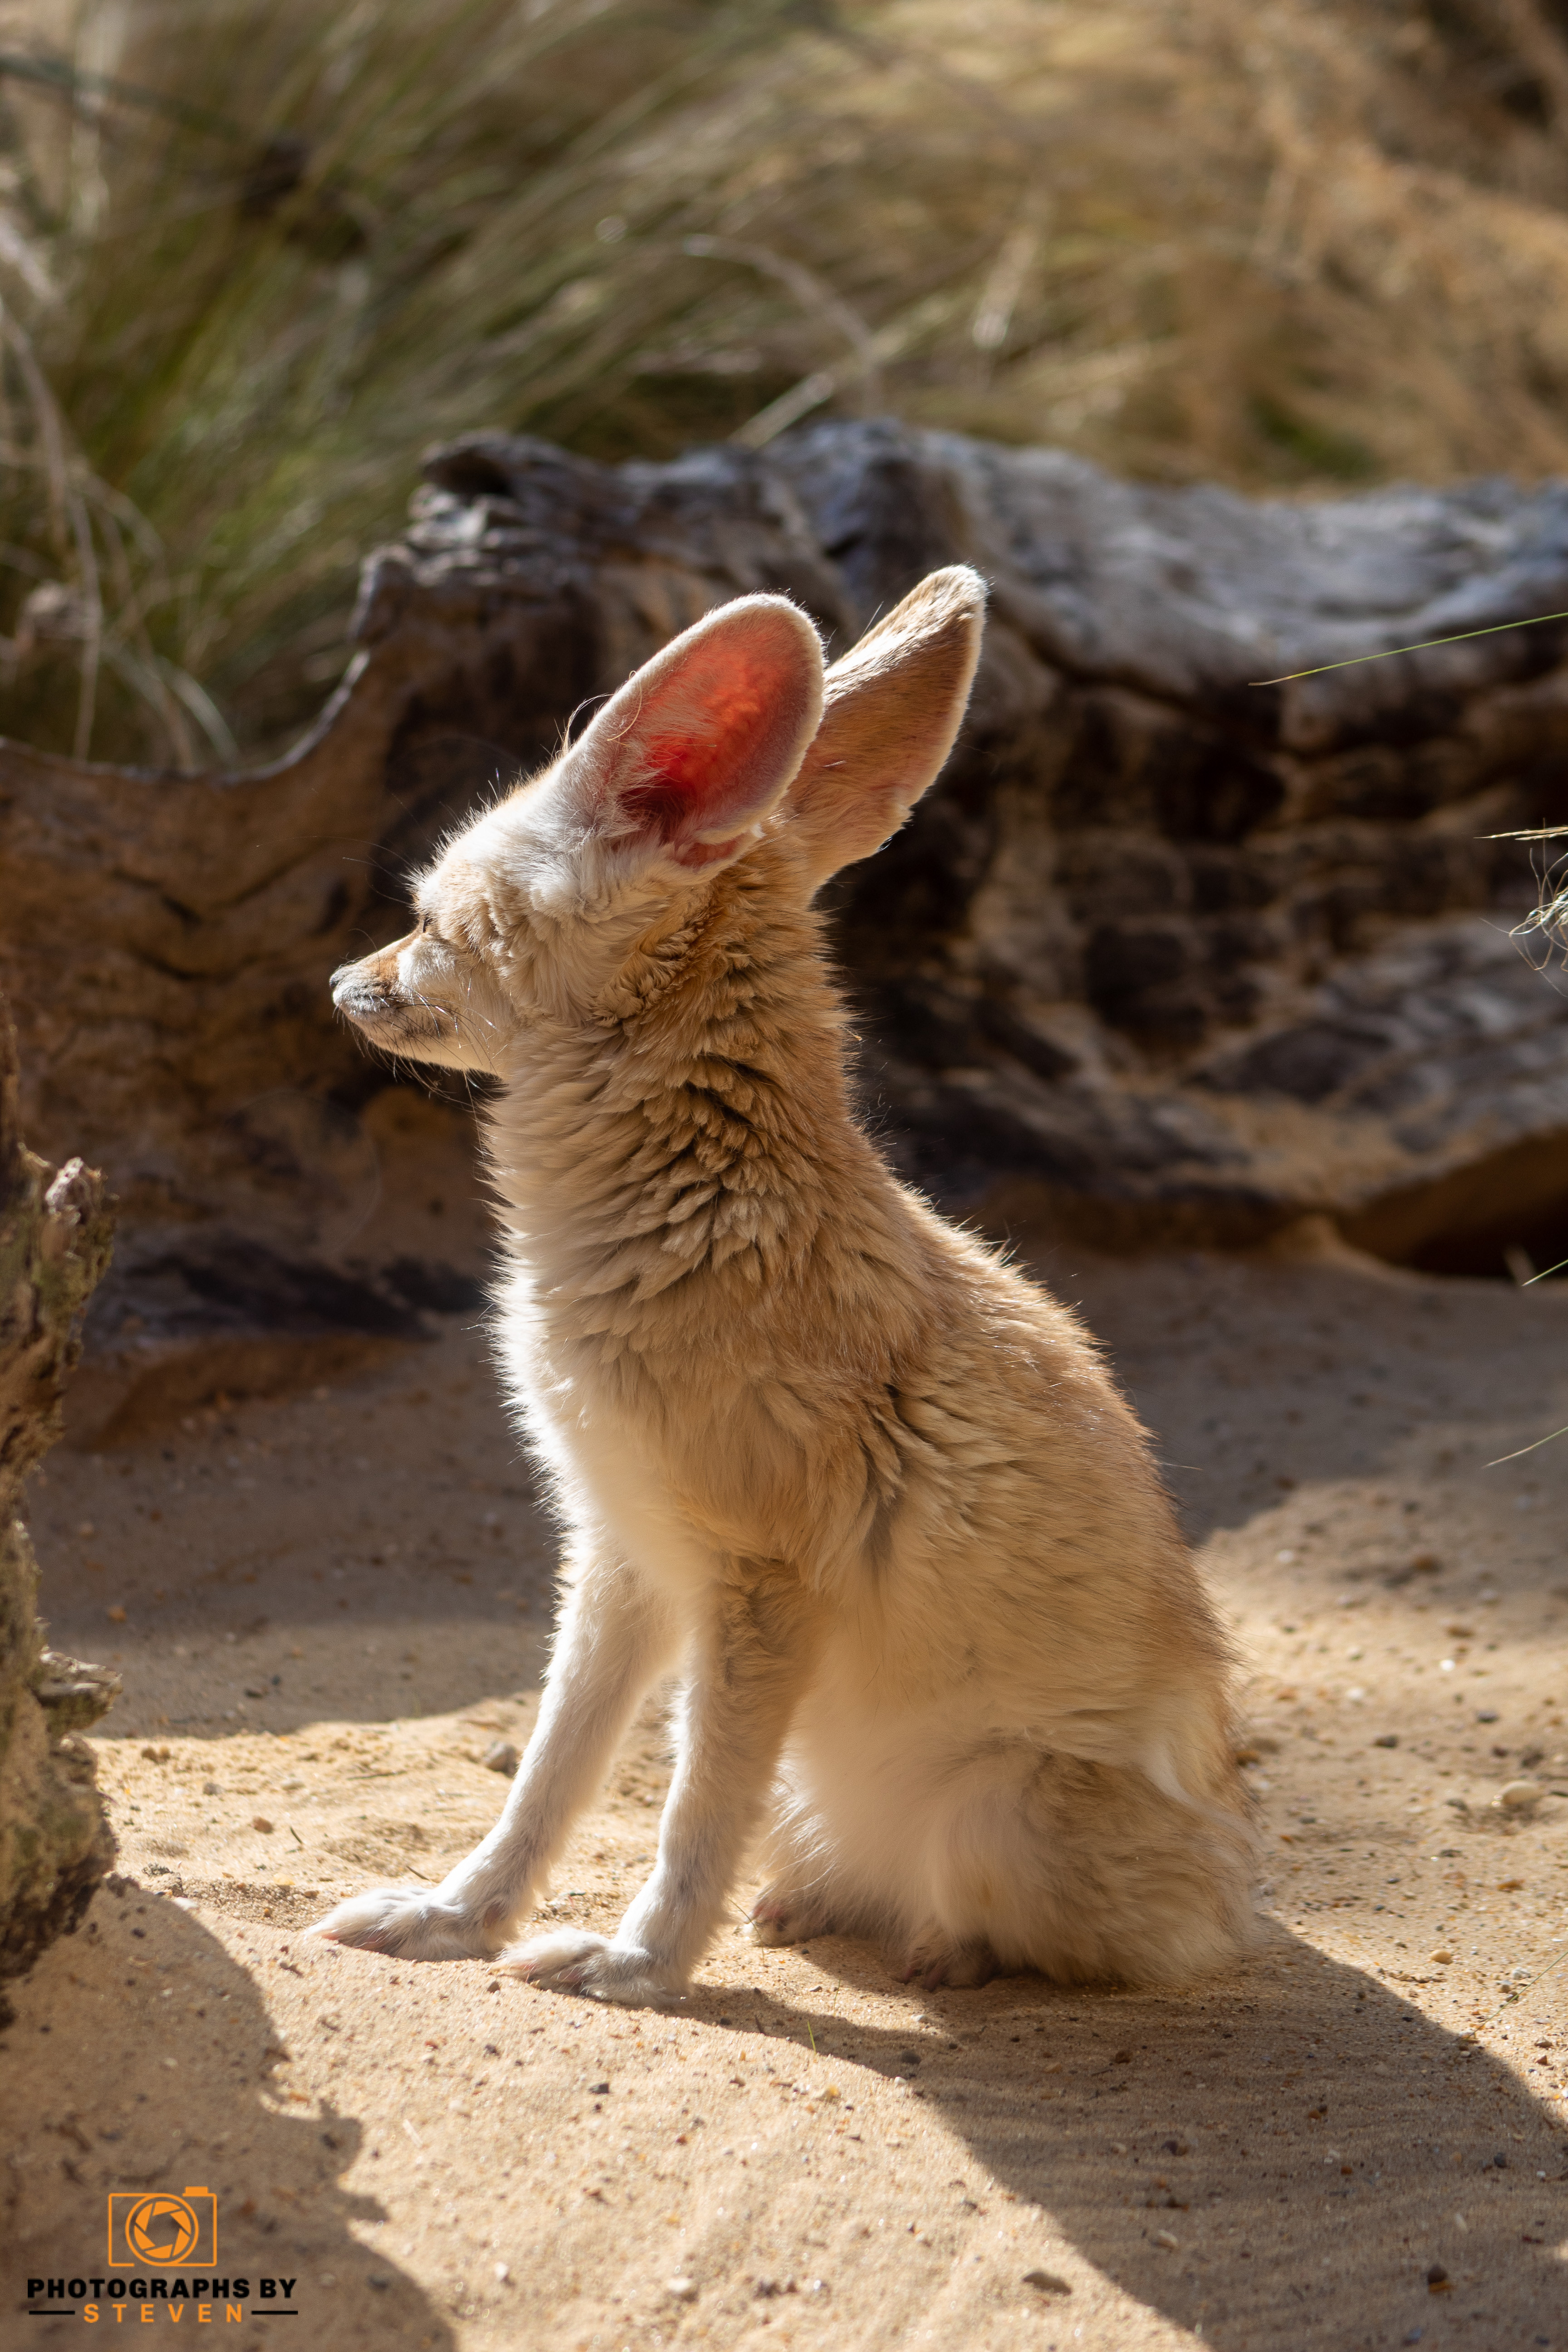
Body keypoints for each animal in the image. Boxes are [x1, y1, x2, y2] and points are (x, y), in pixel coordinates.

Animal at [311, 565, 1255, 2001]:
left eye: (425, 923)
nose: (339, 983)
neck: (699, 1203)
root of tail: (1232, 1888)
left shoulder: (759, 1584)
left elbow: (696, 1802)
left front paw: (641, 1961)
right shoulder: (618, 1551)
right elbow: (550, 1775)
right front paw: (457, 1916)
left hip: (996, 1815)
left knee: (1067, 1941)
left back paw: (941, 1949)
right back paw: (822, 1906)